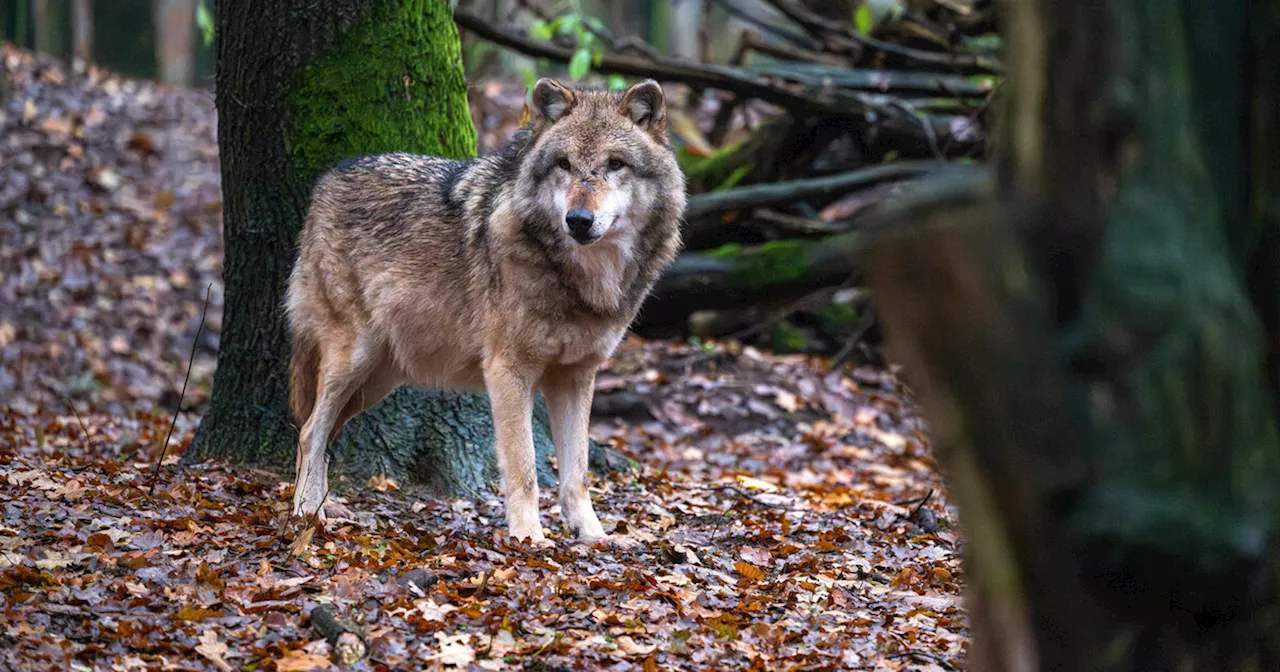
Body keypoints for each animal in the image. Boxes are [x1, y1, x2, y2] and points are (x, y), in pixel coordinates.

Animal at [288, 77, 691, 545]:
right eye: (564, 164)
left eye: (615, 164)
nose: (578, 219)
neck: (583, 279)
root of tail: (328, 177)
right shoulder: (508, 371)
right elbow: (525, 467)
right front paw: (530, 537)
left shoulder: (575, 376)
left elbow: (577, 472)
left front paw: (594, 536)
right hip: (354, 358)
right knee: (310, 431)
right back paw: (306, 513)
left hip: (377, 380)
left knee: (318, 434)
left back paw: (322, 507)